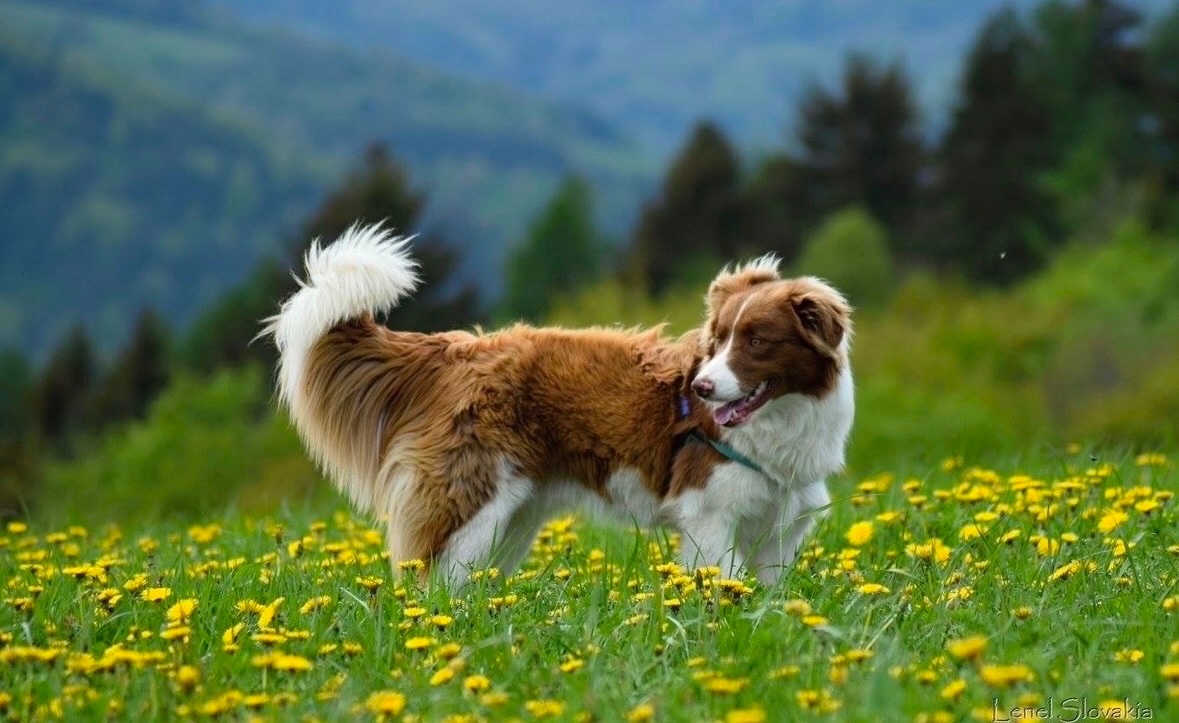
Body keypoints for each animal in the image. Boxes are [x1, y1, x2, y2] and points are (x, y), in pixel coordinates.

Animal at [265, 224, 858, 587]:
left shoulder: (781, 527)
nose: (704, 389)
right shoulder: (709, 516)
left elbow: (766, 596)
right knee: (433, 586)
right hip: (474, 507)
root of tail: (454, 351)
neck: (783, 425)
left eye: (757, 341)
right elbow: (720, 584)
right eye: (718, 341)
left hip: (514, 519)